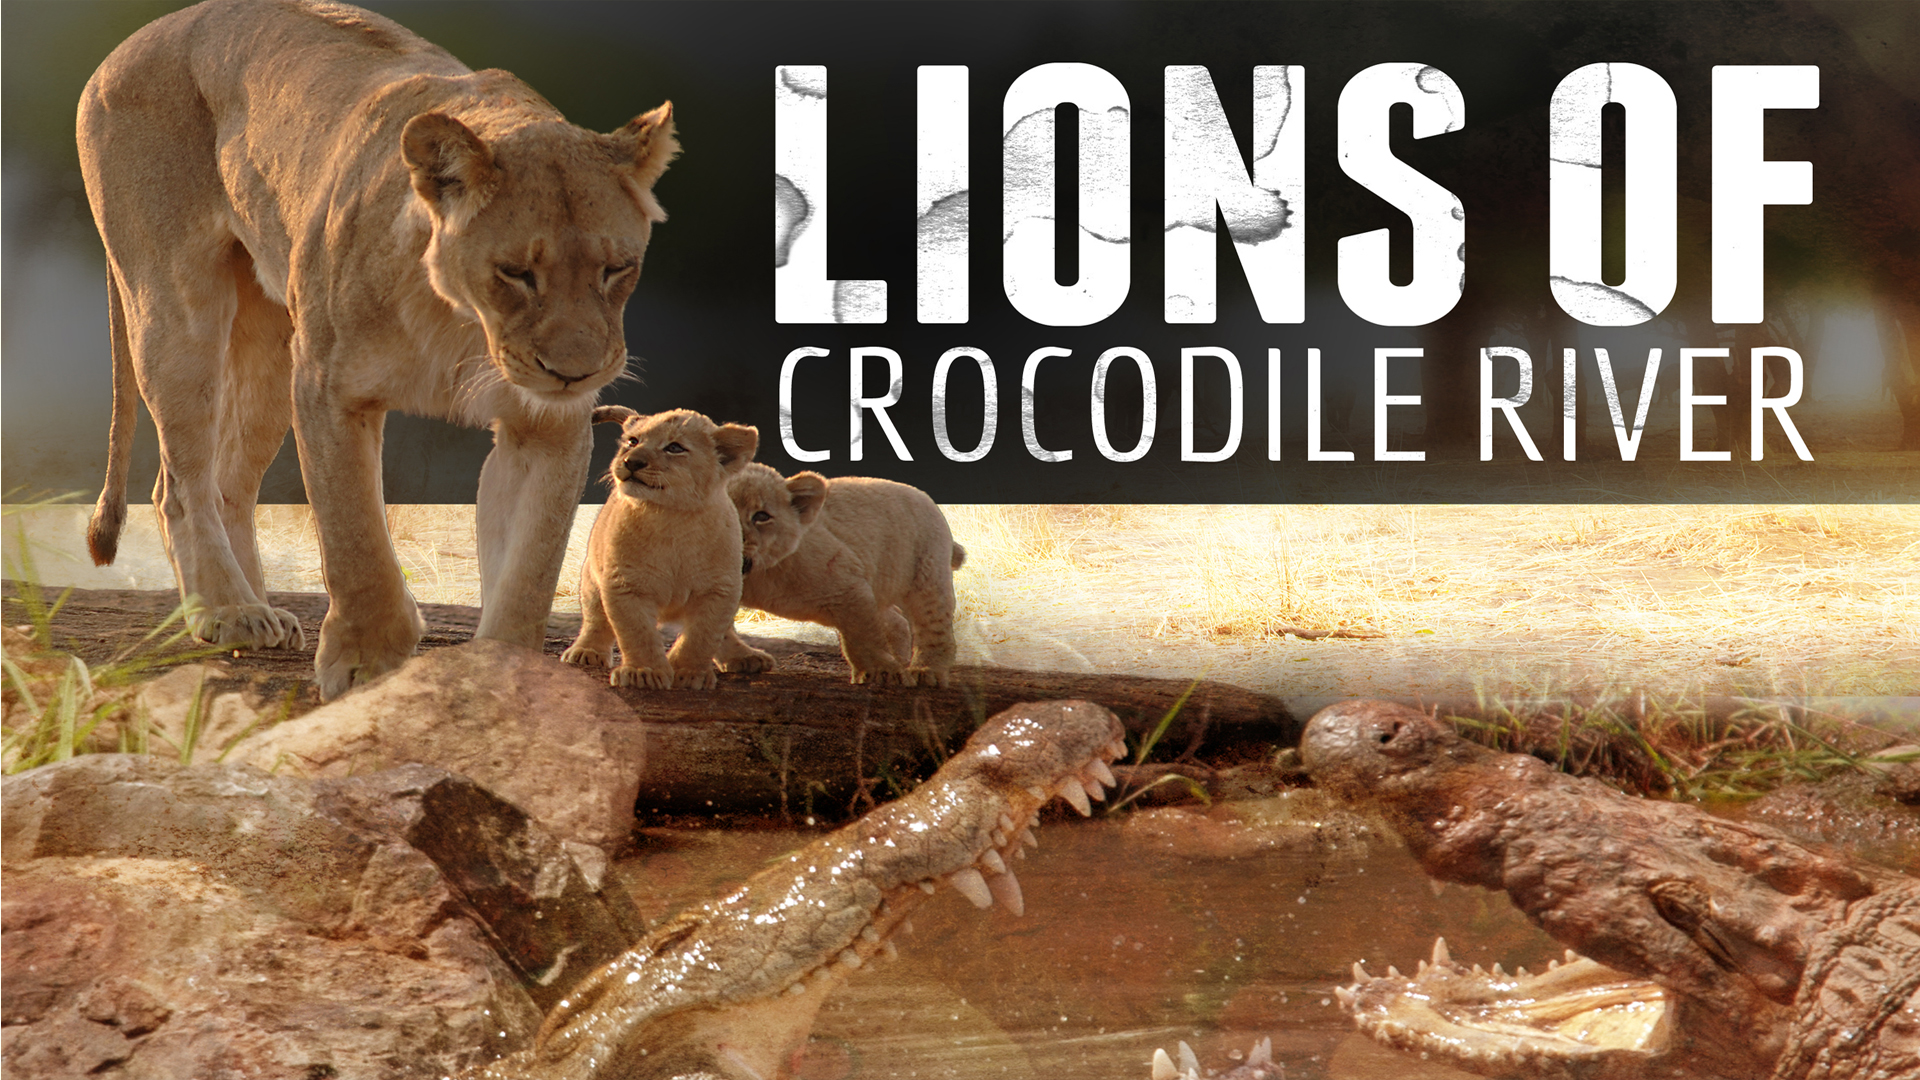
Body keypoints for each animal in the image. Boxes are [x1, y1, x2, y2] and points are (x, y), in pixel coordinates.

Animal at [77, 0, 677, 699]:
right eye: (516, 273)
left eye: (616, 268)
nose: (574, 373)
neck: (460, 321)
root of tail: (143, 34)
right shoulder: (329, 391)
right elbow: (355, 538)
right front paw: (365, 662)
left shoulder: (545, 426)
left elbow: (530, 568)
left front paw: (503, 682)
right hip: (176, 306)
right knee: (178, 483)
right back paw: (229, 610)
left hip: (271, 344)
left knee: (227, 483)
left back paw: (262, 609)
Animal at [562, 407, 758, 690]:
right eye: (633, 441)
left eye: (674, 447)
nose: (631, 461)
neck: (670, 518)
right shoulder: (625, 585)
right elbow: (637, 632)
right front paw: (644, 672)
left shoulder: (720, 589)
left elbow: (704, 634)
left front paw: (689, 672)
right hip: (591, 577)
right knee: (595, 618)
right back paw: (586, 651)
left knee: (725, 631)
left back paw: (745, 657)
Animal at [717, 464, 967, 688]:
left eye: (761, 516)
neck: (756, 578)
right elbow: (720, 628)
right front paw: (745, 658)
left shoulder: (847, 583)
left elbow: (863, 634)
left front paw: (882, 672)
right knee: (897, 620)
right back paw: (901, 659)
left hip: (927, 575)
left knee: (933, 626)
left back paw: (926, 672)